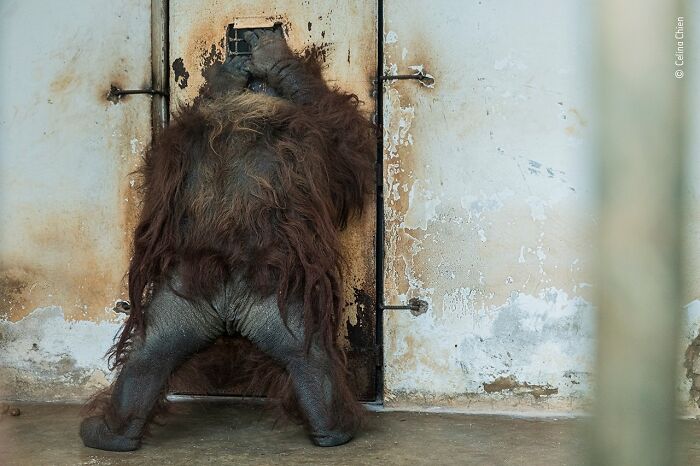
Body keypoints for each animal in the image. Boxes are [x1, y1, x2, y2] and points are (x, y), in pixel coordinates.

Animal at [79, 28, 375, 451]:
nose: (250, 76)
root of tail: (228, 302)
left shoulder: (172, 148)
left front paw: (233, 77)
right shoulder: (310, 138)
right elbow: (349, 150)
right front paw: (274, 62)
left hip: (185, 299)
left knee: (150, 355)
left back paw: (112, 434)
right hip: (277, 299)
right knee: (311, 353)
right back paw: (339, 428)